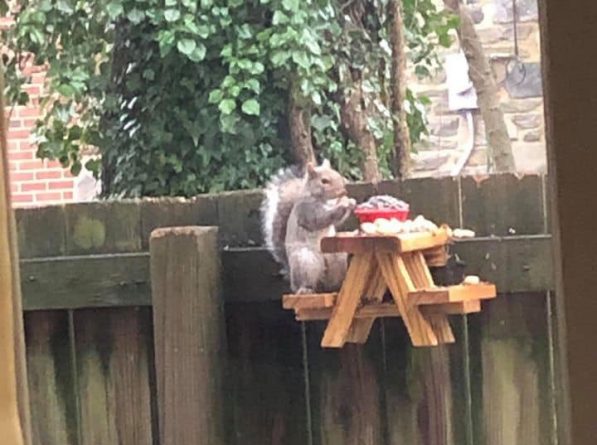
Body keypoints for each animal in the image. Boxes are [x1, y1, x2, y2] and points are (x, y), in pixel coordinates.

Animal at [260, 158, 354, 294]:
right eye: (324, 181)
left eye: (337, 174)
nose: (343, 191)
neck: (323, 200)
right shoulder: (306, 211)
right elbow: (320, 219)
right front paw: (343, 204)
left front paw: (349, 201)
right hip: (305, 262)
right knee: (307, 283)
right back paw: (306, 289)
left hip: (337, 257)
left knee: (329, 284)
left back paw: (336, 286)